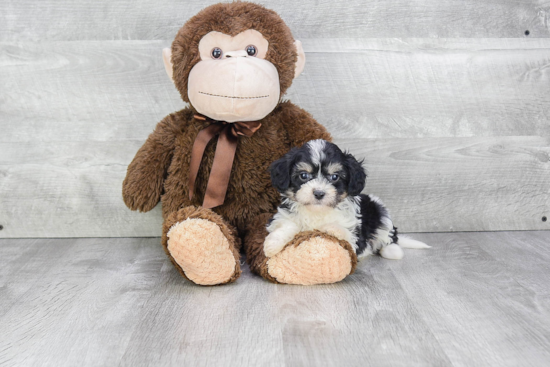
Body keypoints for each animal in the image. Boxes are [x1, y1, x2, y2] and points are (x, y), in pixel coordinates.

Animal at [266, 139, 432, 260]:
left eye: (334, 177)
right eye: (303, 175)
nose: (319, 193)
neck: (317, 211)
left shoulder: (355, 236)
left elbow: (346, 233)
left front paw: (331, 228)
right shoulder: (284, 216)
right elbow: (286, 226)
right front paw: (272, 245)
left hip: (379, 210)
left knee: (389, 236)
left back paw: (392, 250)